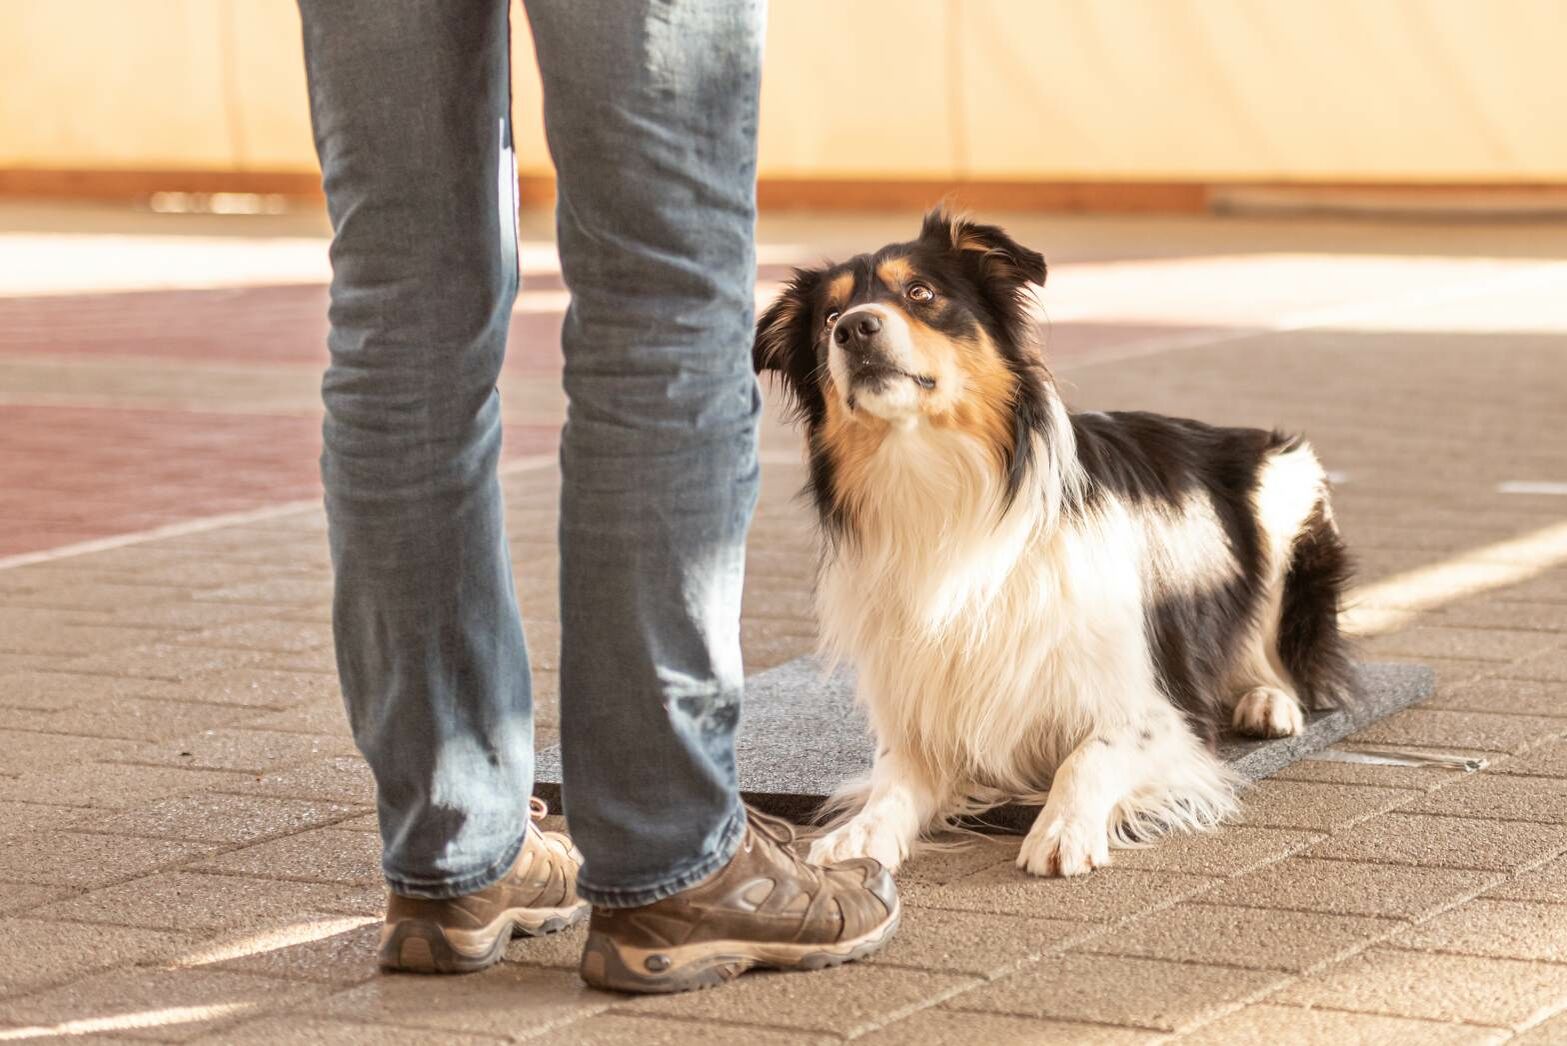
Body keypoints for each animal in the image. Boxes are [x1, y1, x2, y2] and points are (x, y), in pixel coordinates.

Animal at [752, 209, 1353, 876]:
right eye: (828, 316)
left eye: (920, 292)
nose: (854, 328)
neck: (938, 485)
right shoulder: (923, 716)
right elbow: (893, 781)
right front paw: (861, 833)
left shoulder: (1157, 711)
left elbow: (1087, 755)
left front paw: (1063, 827)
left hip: (1286, 489)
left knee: (1284, 653)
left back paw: (1269, 700)